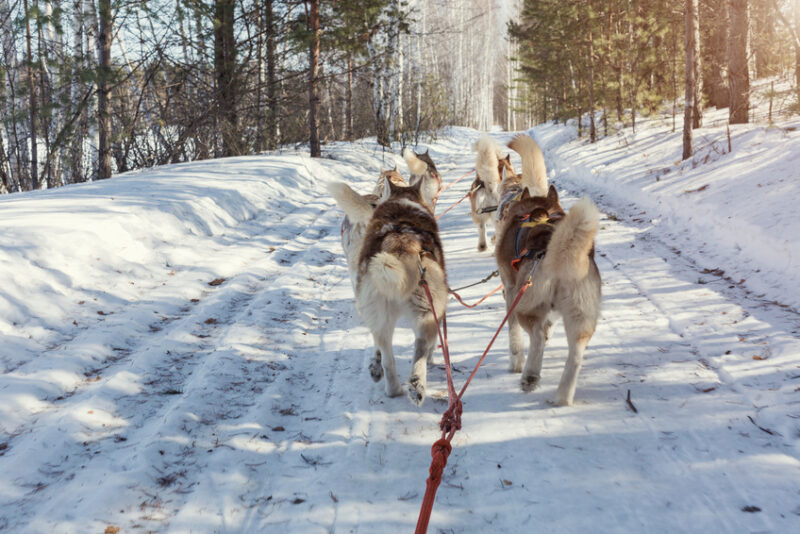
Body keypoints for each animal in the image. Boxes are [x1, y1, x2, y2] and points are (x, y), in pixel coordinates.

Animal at [326, 176, 450, 406]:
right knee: (421, 347)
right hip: (428, 312)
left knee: (387, 358)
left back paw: (393, 386)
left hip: (380, 317)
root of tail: (399, 247)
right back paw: (417, 384)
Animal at [494, 134, 600, 406]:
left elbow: (515, 337)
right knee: (575, 355)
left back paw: (530, 376)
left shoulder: (510, 291)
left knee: (537, 337)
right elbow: (548, 325)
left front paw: (516, 361)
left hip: (525, 304)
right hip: (580, 319)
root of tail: (557, 256)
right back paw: (563, 395)